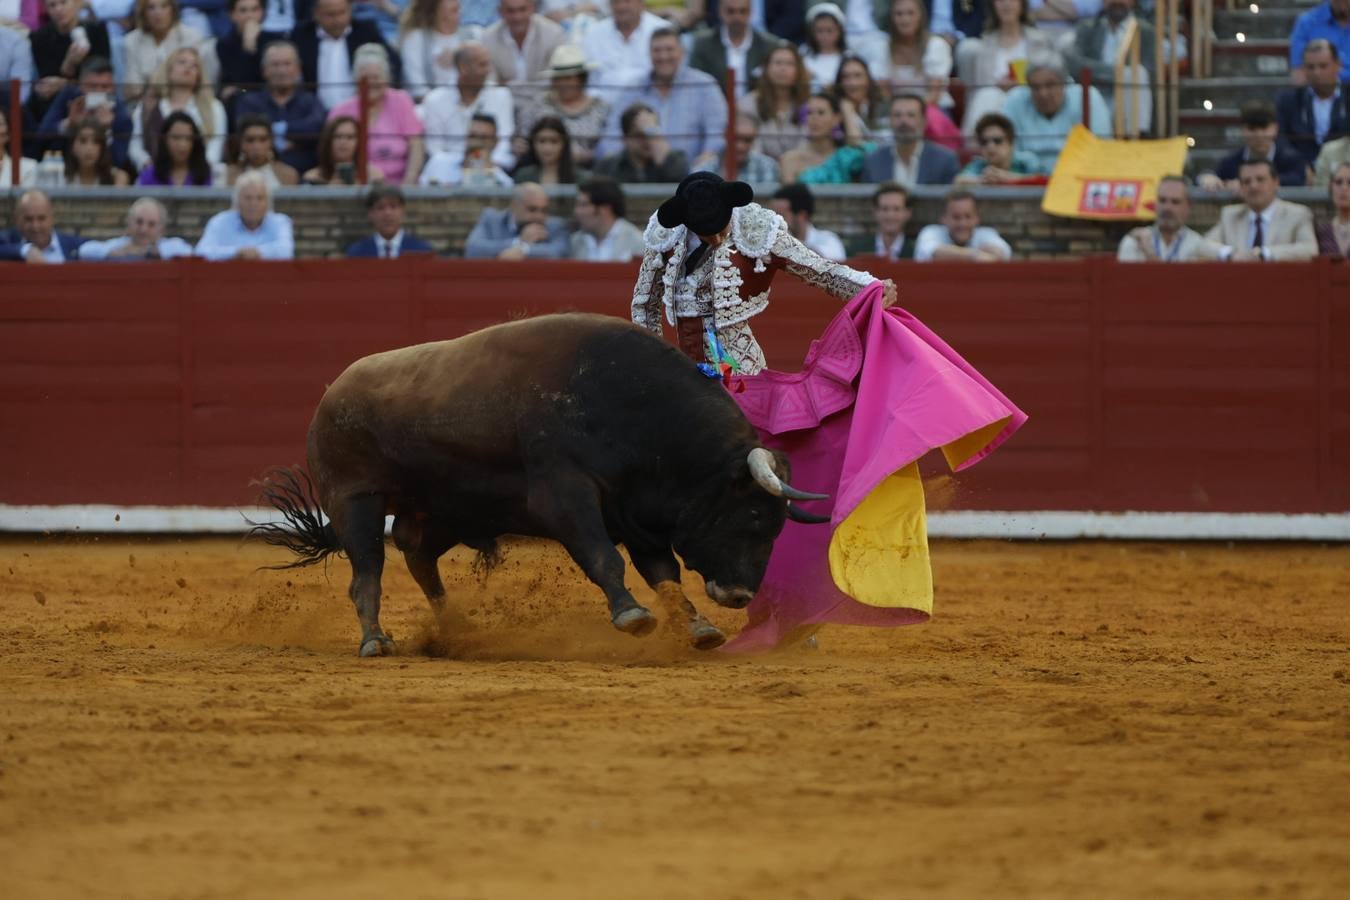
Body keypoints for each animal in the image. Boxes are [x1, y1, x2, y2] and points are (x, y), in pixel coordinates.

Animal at [248, 313, 826, 658]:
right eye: (752, 517)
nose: (740, 595)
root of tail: (331, 394)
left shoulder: (637, 513)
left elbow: (664, 574)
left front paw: (699, 628)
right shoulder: (566, 496)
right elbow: (604, 558)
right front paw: (632, 616)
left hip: (443, 510)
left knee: (418, 557)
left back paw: (457, 631)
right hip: (356, 501)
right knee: (367, 571)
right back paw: (376, 641)